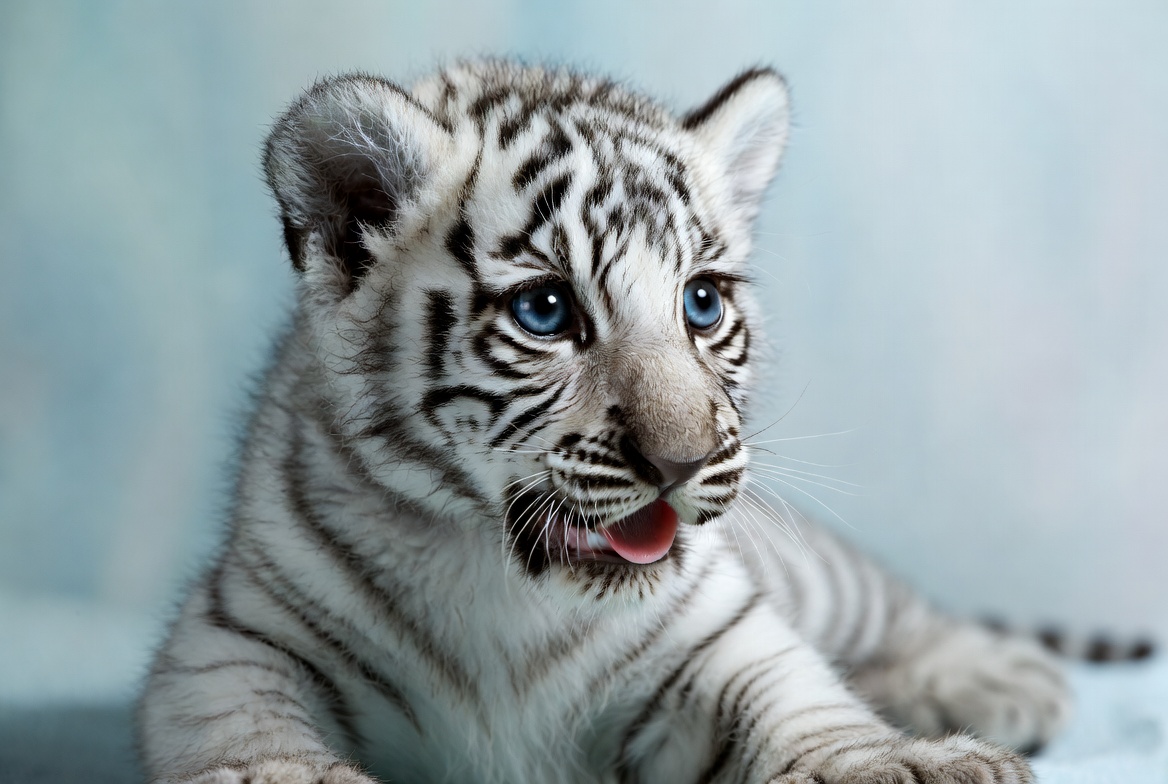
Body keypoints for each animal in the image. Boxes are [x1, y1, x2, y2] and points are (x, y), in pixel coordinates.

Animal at [137, 60, 1071, 784]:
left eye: (702, 302)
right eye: (546, 310)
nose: (684, 462)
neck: (500, 585)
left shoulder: (716, 635)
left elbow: (800, 696)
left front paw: (902, 759)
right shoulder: (229, 638)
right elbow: (250, 738)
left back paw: (1002, 681)